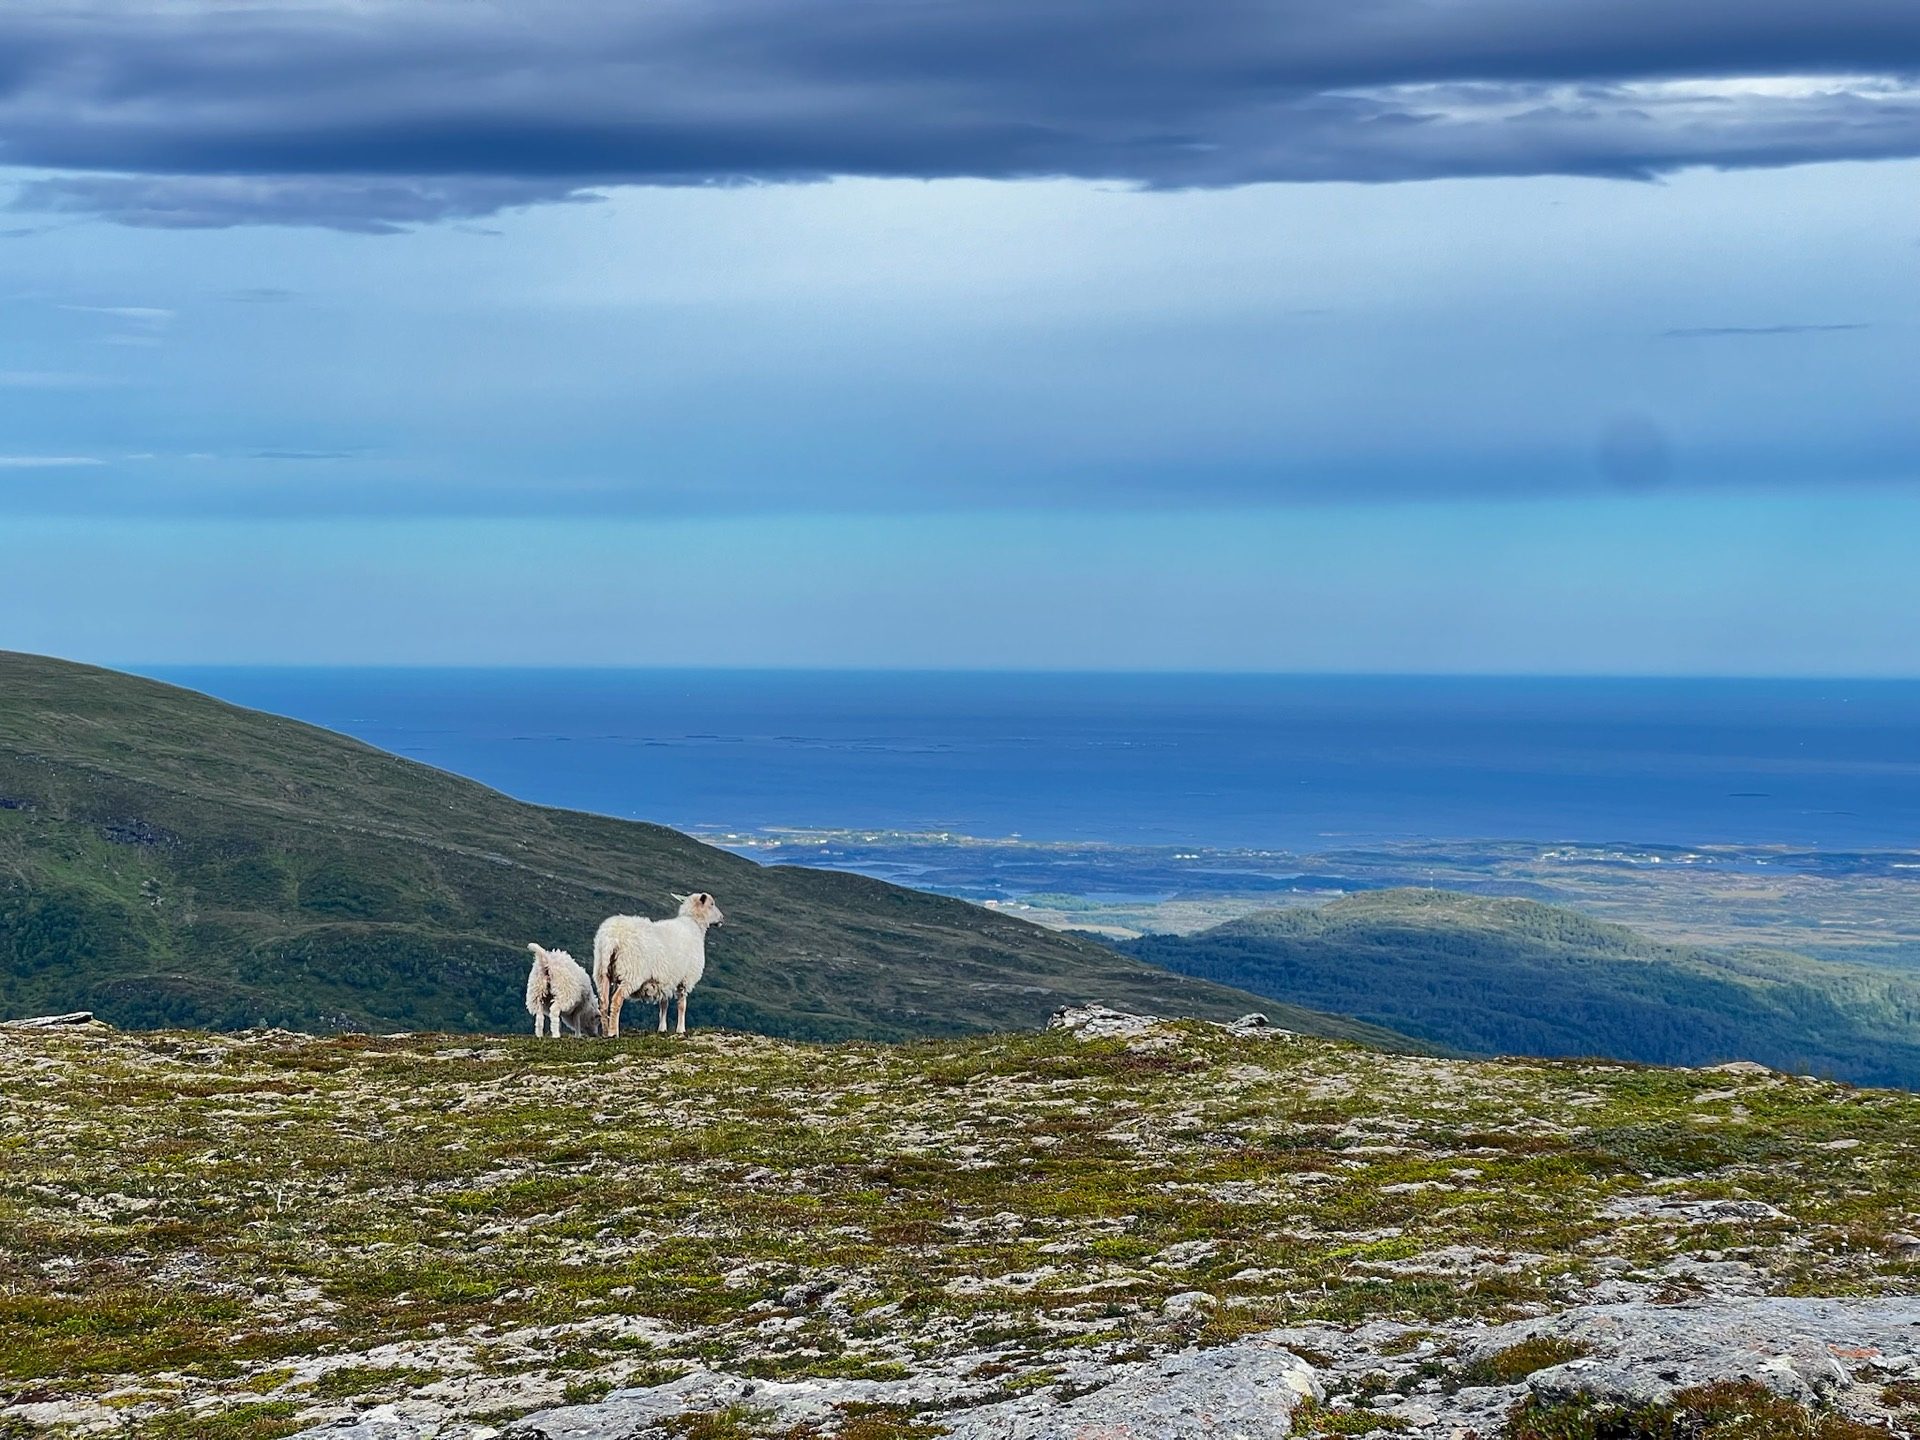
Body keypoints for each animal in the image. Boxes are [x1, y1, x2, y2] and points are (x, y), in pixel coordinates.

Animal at [594, 892, 725, 1038]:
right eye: (711, 904)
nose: (722, 918)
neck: (694, 925)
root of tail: (611, 938)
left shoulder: (666, 979)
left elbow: (664, 1004)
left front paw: (662, 1029)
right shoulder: (685, 979)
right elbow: (682, 1005)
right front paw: (681, 1029)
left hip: (602, 971)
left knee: (604, 1002)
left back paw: (605, 1032)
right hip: (631, 973)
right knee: (617, 1000)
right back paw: (613, 1032)